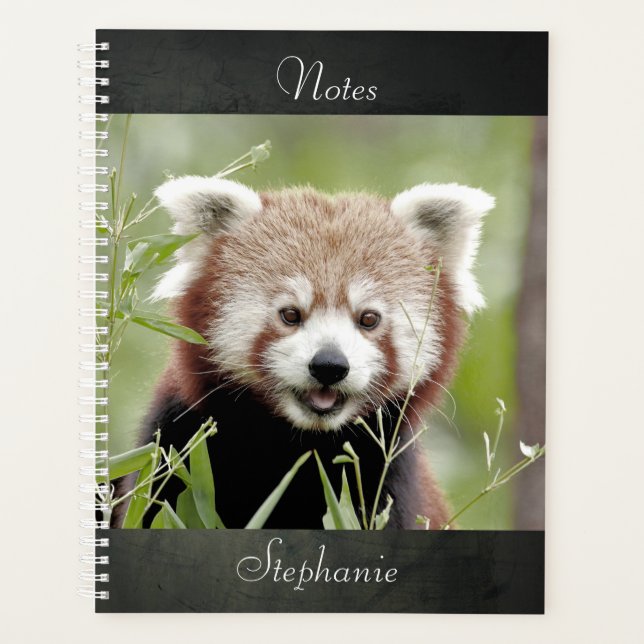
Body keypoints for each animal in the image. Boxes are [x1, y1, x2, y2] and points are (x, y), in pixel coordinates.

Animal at [113, 178, 494, 529]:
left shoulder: (386, 479)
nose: (329, 365)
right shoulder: (178, 448)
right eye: (290, 315)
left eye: (368, 318)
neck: (298, 446)